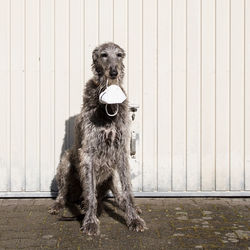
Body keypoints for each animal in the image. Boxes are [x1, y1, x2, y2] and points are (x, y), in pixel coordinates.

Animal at [48, 42, 147, 235]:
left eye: (119, 55)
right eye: (103, 55)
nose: (114, 72)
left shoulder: (121, 151)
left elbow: (127, 191)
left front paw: (134, 219)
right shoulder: (88, 152)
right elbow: (90, 193)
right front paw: (90, 222)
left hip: (113, 172)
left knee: (119, 195)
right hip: (66, 160)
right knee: (66, 193)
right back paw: (61, 205)